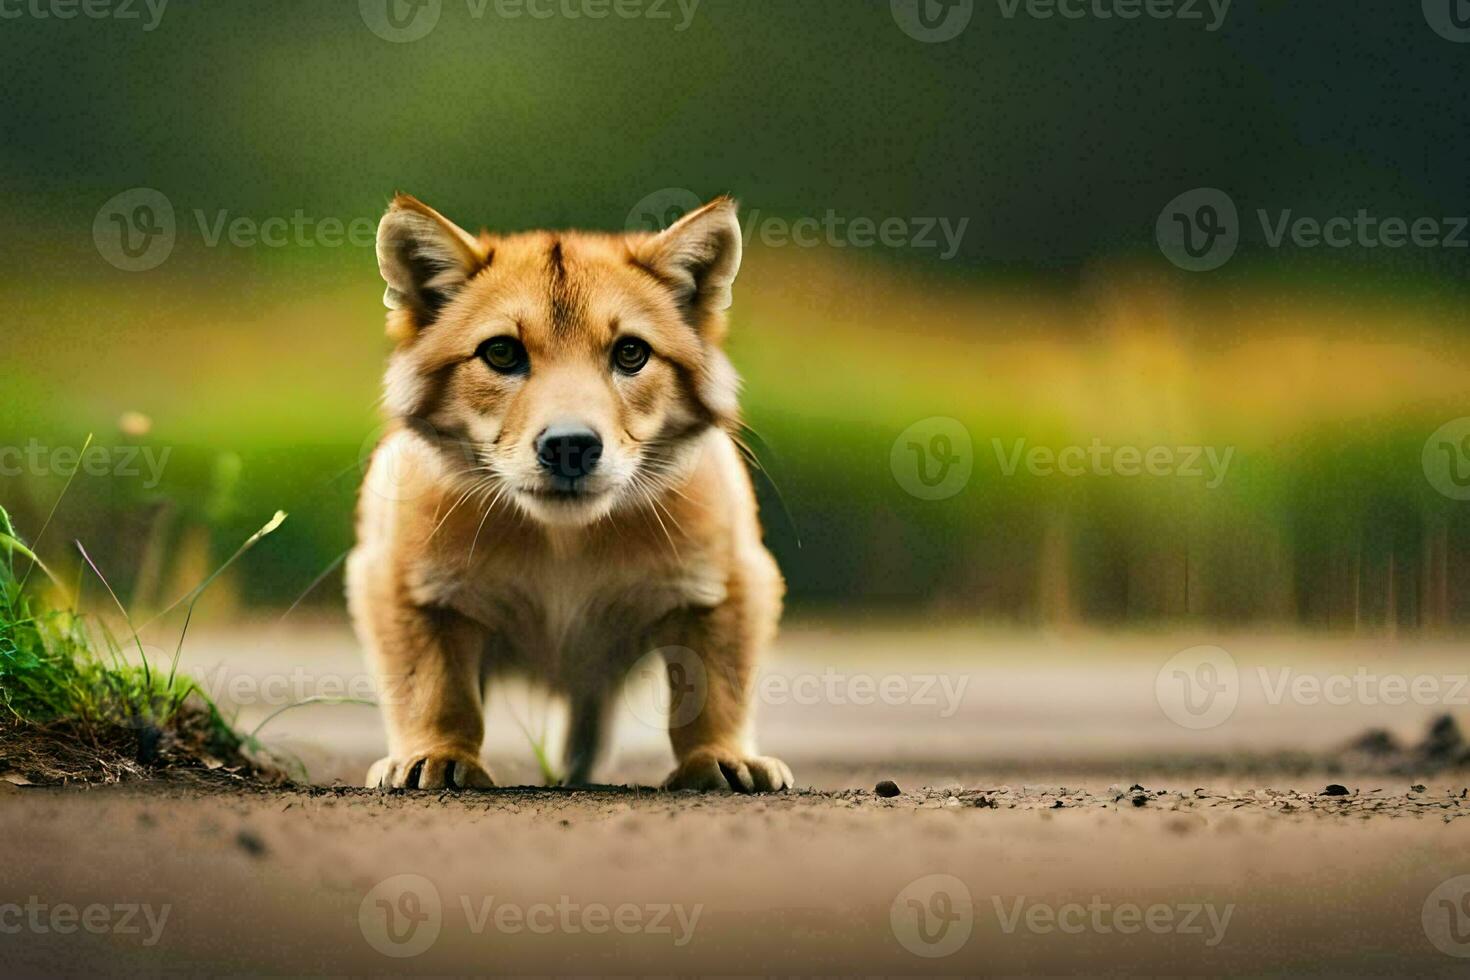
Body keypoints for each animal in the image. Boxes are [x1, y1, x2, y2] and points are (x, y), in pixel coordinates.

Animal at [346, 195, 793, 793]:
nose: (570, 447)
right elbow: (435, 690)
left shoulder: (729, 582)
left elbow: (714, 689)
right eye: (501, 353)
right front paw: (436, 755)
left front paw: (719, 756)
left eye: (631, 353)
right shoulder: (403, 584)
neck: (565, 541)